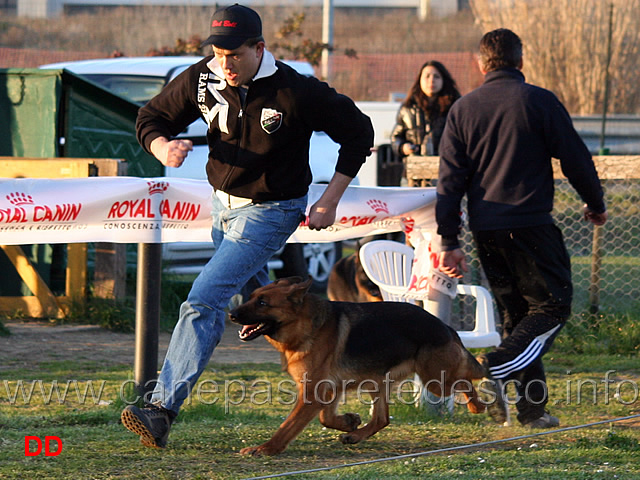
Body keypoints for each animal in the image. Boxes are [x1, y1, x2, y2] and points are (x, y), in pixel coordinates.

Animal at [230, 276, 484, 456]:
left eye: (263, 303)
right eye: (251, 297)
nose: (231, 314)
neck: (305, 324)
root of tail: (446, 327)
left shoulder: (313, 393)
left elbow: (288, 425)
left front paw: (266, 449)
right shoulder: (330, 390)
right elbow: (325, 418)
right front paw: (349, 422)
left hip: (435, 381)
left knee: (466, 380)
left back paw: (477, 405)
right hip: (378, 382)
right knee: (382, 419)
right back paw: (356, 436)